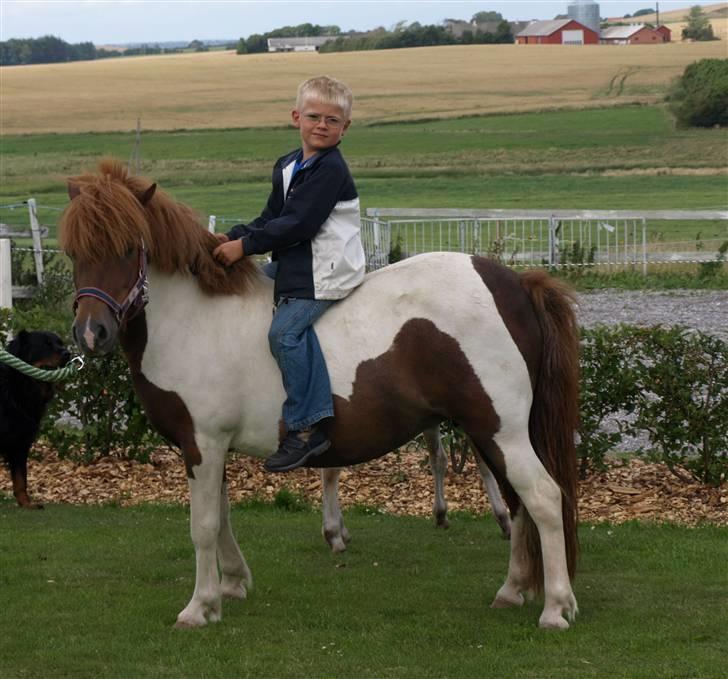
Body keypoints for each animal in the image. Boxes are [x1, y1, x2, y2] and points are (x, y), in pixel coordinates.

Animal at [0, 330, 69, 510]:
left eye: (60, 343)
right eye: (46, 345)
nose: (68, 353)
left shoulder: (21, 442)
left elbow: (20, 479)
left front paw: (26, 503)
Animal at [58, 161, 580, 632]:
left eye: (129, 248)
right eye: (73, 251)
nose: (91, 333)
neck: (195, 317)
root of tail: (514, 283)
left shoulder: (202, 443)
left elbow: (202, 525)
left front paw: (199, 606)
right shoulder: (208, 449)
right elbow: (222, 517)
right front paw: (232, 584)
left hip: (500, 431)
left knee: (542, 497)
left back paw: (555, 607)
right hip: (491, 435)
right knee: (517, 502)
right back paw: (513, 590)